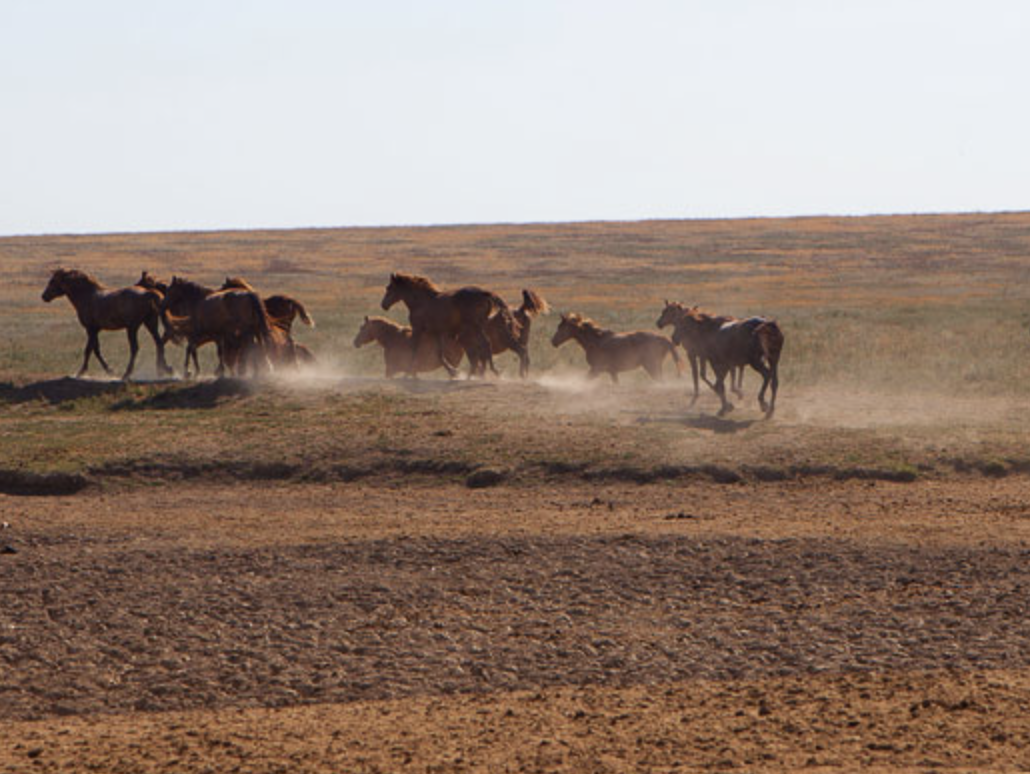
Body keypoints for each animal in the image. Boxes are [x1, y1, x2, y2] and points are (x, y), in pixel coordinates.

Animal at [41, 270, 172, 381]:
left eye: (52, 281)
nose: (44, 296)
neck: (87, 296)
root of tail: (148, 293)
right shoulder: (96, 330)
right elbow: (95, 349)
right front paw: (109, 370)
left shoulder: (90, 329)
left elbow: (90, 350)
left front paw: (83, 372)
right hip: (150, 323)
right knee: (159, 342)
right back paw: (164, 370)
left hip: (132, 327)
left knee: (135, 348)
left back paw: (127, 374)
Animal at [379, 274, 523, 379]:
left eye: (389, 288)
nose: (383, 305)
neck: (421, 302)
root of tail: (484, 293)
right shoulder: (436, 333)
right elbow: (440, 354)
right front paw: (453, 372)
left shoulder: (417, 330)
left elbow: (413, 350)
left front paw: (409, 373)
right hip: (478, 326)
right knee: (485, 345)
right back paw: (485, 372)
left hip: (475, 326)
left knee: (485, 345)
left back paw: (488, 372)